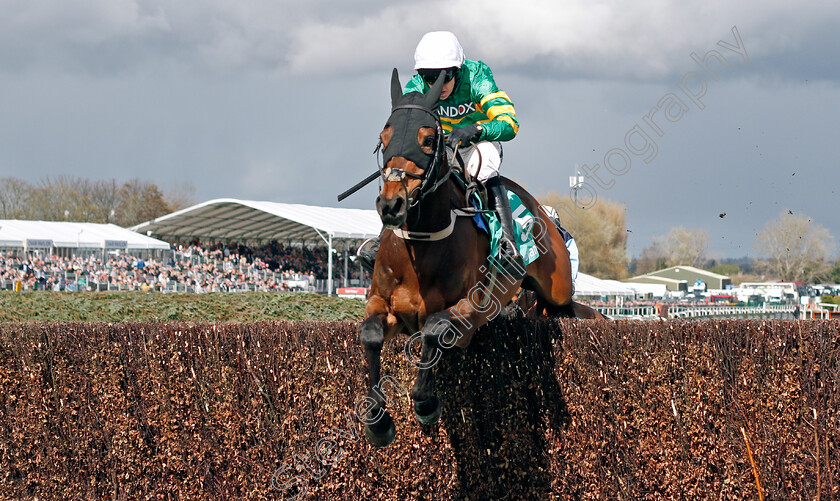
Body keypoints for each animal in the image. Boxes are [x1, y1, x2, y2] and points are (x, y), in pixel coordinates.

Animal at [360, 68, 604, 448]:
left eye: (427, 139)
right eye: (383, 138)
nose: (391, 204)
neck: (421, 246)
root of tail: (539, 209)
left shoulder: (469, 311)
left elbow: (433, 329)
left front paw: (425, 403)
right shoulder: (383, 304)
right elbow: (370, 334)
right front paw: (378, 421)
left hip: (558, 282)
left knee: (564, 303)